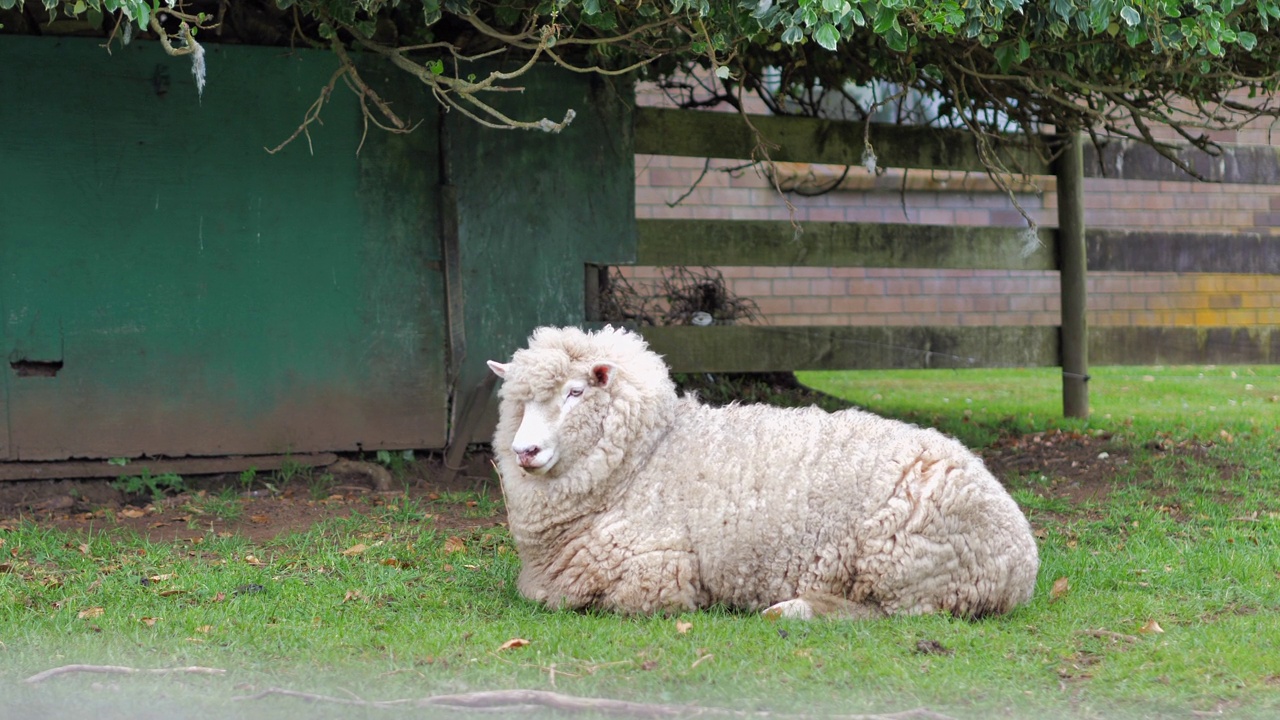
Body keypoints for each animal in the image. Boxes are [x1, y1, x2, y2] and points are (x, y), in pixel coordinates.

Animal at [486, 325, 1039, 617]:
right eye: (517, 402)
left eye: (576, 392)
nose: (524, 451)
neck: (645, 458)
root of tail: (1023, 561)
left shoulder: (654, 574)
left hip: (907, 568)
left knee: (883, 614)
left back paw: (792, 609)